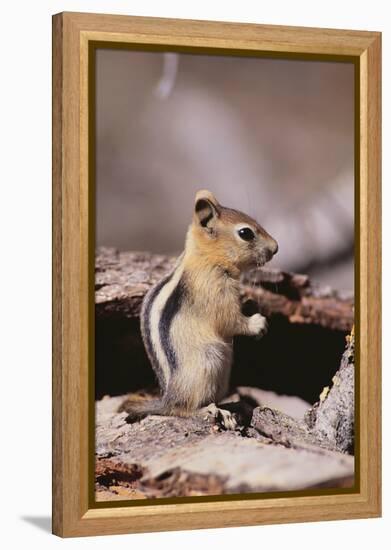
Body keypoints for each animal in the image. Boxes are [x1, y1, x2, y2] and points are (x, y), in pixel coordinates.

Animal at [121, 192, 278, 430]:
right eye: (246, 233)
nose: (276, 247)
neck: (205, 258)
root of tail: (167, 399)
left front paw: (252, 303)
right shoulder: (215, 294)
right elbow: (230, 321)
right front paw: (256, 323)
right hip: (208, 362)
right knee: (182, 409)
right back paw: (212, 411)